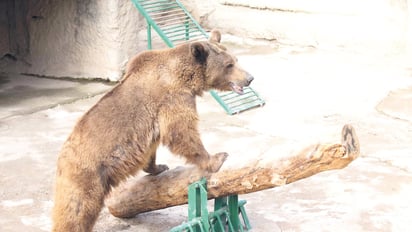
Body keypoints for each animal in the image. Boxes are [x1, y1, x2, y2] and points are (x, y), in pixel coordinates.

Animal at [51, 29, 254, 231]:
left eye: (236, 59)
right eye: (229, 65)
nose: (249, 78)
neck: (185, 77)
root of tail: (61, 157)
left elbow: (153, 147)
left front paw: (159, 167)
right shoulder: (173, 98)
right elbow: (181, 132)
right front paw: (217, 158)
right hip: (87, 175)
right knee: (76, 211)